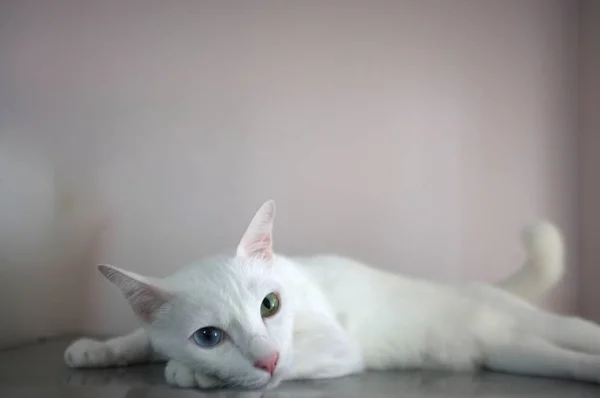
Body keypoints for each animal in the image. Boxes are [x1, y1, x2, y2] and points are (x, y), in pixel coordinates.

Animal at [64, 199, 600, 388]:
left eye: (270, 305)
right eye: (209, 336)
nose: (266, 359)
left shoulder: (336, 347)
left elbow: (292, 362)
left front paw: (189, 372)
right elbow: (141, 337)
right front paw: (95, 350)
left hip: (529, 328)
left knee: (579, 330)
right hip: (513, 353)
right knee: (561, 358)